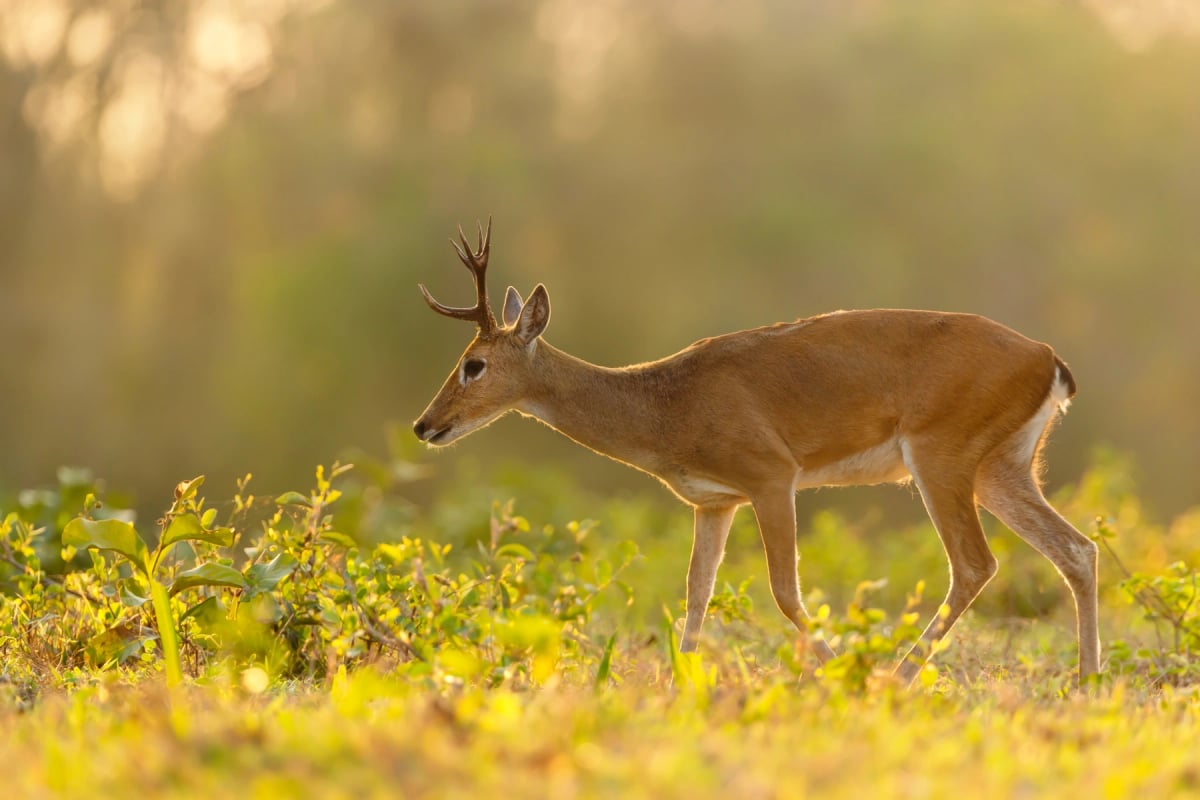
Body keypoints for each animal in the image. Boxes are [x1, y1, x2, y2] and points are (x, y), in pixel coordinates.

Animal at [412, 218, 1100, 686]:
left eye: (474, 364)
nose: (425, 425)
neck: (664, 407)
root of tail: (1051, 361)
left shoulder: (773, 477)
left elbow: (785, 590)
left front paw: (838, 674)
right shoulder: (714, 503)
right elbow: (695, 594)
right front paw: (677, 685)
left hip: (941, 458)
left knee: (976, 563)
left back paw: (896, 677)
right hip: (1003, 469)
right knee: (1077, 549)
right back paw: (1087, 682)